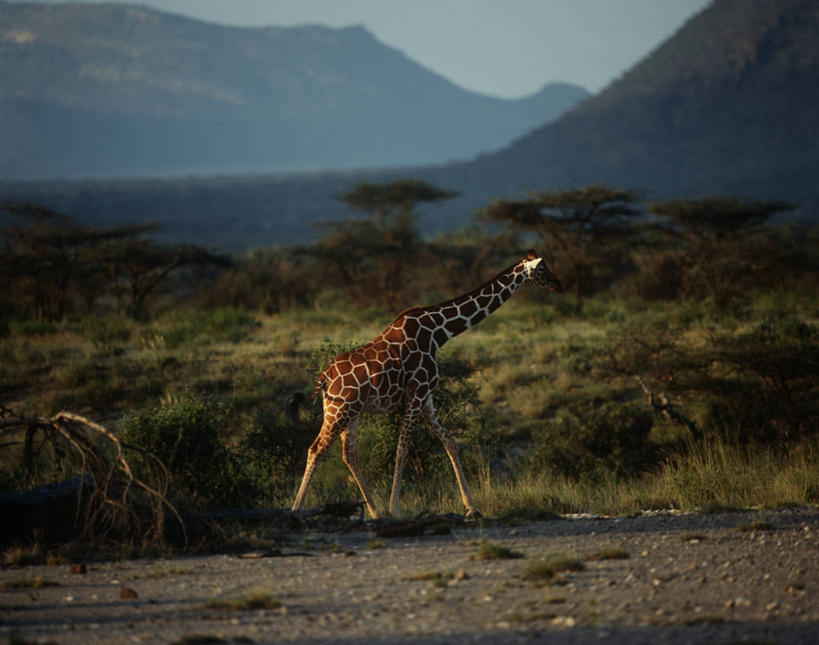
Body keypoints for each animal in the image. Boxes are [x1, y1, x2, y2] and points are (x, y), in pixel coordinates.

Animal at [290, 249, 564, 516]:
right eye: (542, 268)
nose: (558, 284)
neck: (439, 332)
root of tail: (324, 377)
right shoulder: (417, 394)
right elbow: (402, 450)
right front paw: (396, 509)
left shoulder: (427, 399)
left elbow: (450, 443)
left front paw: (471, 507)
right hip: (341, 409)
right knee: (316, 449)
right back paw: (297, 509)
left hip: (349, 411)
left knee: (349, 454)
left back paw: (374, 512)